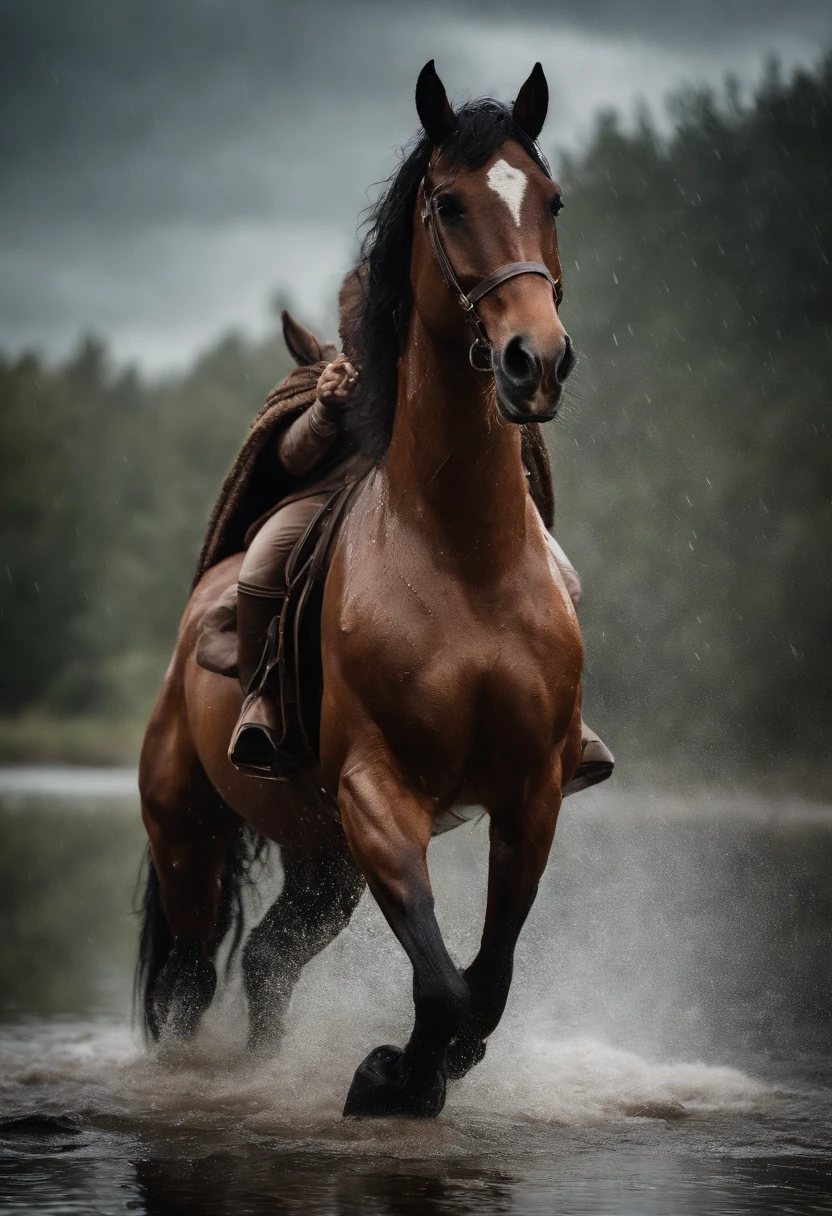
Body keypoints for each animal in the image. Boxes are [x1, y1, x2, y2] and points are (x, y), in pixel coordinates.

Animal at [137, 60, 583, 1118]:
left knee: (266, 960)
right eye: (450, 204)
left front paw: (418, 1071)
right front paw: (394, 1078)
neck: (463, 556)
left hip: (318, 863)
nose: (535, 361)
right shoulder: (379, 795)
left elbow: (486, 984)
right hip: (190, 836)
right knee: (191, 979)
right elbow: (444, 983)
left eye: (550, 200)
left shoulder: (532, 792)